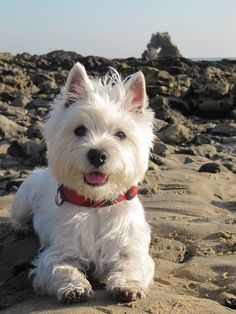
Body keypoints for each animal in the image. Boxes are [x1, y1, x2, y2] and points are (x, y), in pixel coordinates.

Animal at [10, 62, 155, 304]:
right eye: (79, 130)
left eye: (120, 134)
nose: (97, 155)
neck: (96, 204)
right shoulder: (58, 252)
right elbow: (62, 268)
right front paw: (74, 288)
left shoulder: (131, 249)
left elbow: (131, 267)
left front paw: (127, 287)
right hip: (23, 200)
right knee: (17, 215)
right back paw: (20, 227)